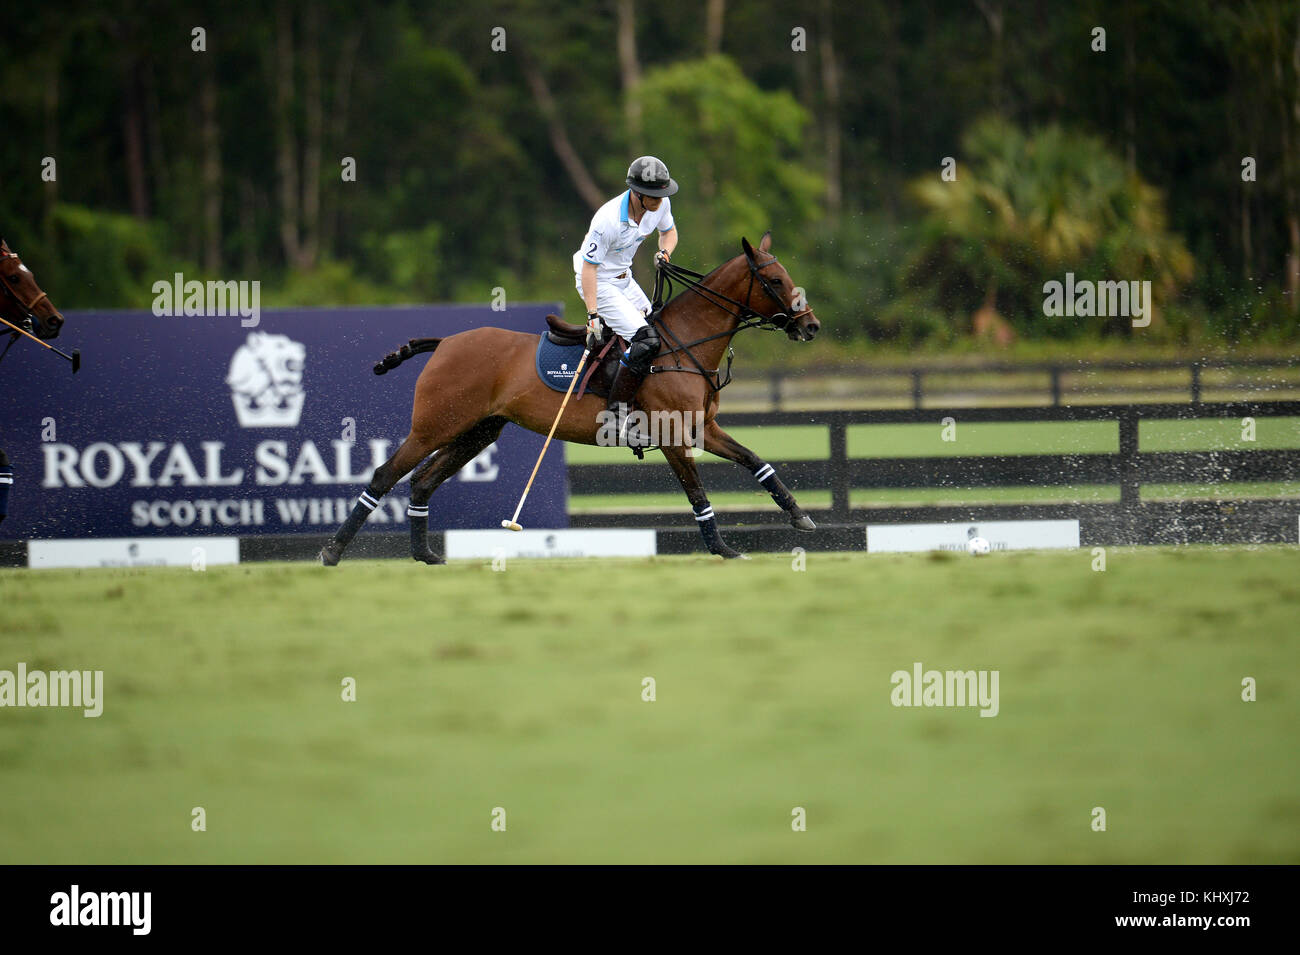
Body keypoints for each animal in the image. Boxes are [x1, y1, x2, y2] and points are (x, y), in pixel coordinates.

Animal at [318, 231, 816, 561]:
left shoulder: (702, 427)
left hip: (477, 432)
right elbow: (697, 493)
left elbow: (754, 460)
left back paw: (426, 556)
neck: (682, 344)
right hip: (434, 425)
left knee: (422, 481)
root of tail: (444, 344)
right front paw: (724, 549)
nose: (810, 326)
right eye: (774, 280)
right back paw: (333, 551)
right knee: (385, 475)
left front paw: (798, 516)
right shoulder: (673, 436)